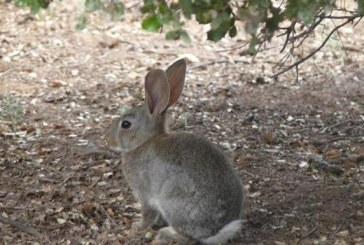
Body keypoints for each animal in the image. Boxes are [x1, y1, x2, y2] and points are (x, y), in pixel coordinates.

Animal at [105, 59, 245, 245]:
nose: (108, 140)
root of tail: (217, 230)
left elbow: (147, 213)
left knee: (188, 237)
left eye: (125, 124)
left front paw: (137, 227)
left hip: (173, 201)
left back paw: (165, 234)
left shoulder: (144, 194)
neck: (144, 142)